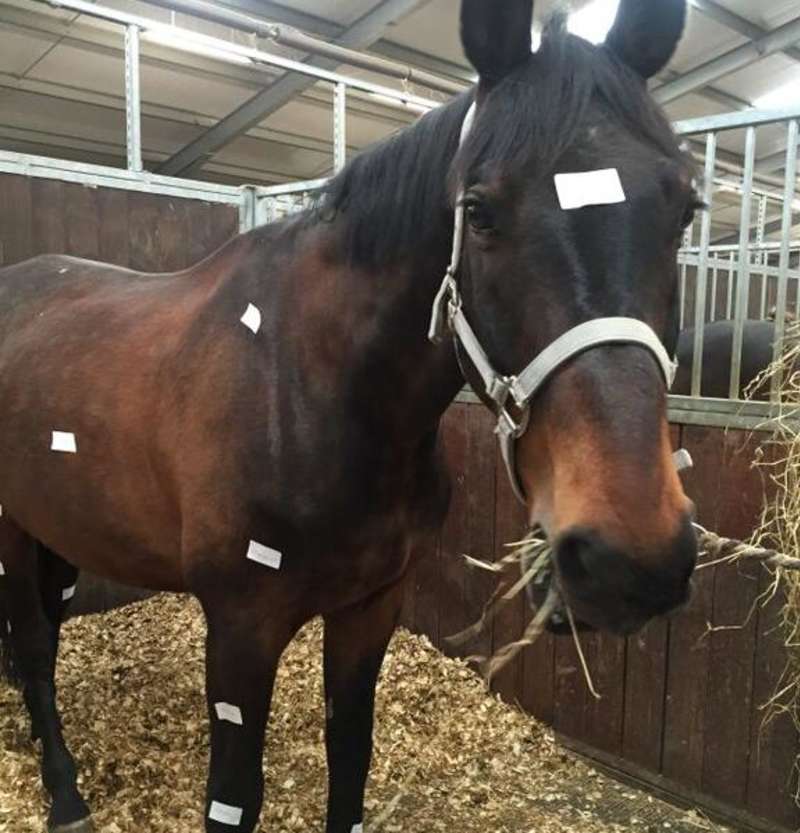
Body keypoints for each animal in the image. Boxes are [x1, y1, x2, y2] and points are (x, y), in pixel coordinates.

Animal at [0, 1, 699, 830]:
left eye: (685, 210)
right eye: (479, 211)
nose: (631, 558)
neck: (312, 392)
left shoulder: (371, 607)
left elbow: (351, 754)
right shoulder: (240, 627)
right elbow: (233, 797)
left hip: (58, 526)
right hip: (13, 527)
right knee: (34, 645)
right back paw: (65, 791)